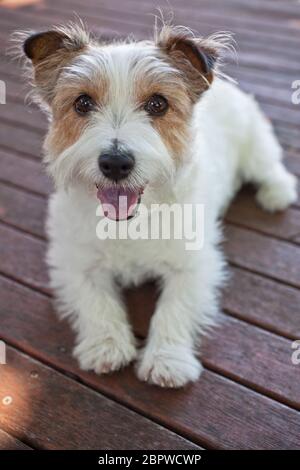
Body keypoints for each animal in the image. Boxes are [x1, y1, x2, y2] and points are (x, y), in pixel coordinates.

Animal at [17, 20, 298, 388]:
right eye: (82, 103)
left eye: (157, 104)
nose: (115, 163)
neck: (132, 222)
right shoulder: (74, 263)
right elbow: (96, 302)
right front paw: (106, 346)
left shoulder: (194, 265)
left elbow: (173, 308)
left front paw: (167, 360)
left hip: (256, 147)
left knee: (272, 168)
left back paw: (275, 194)